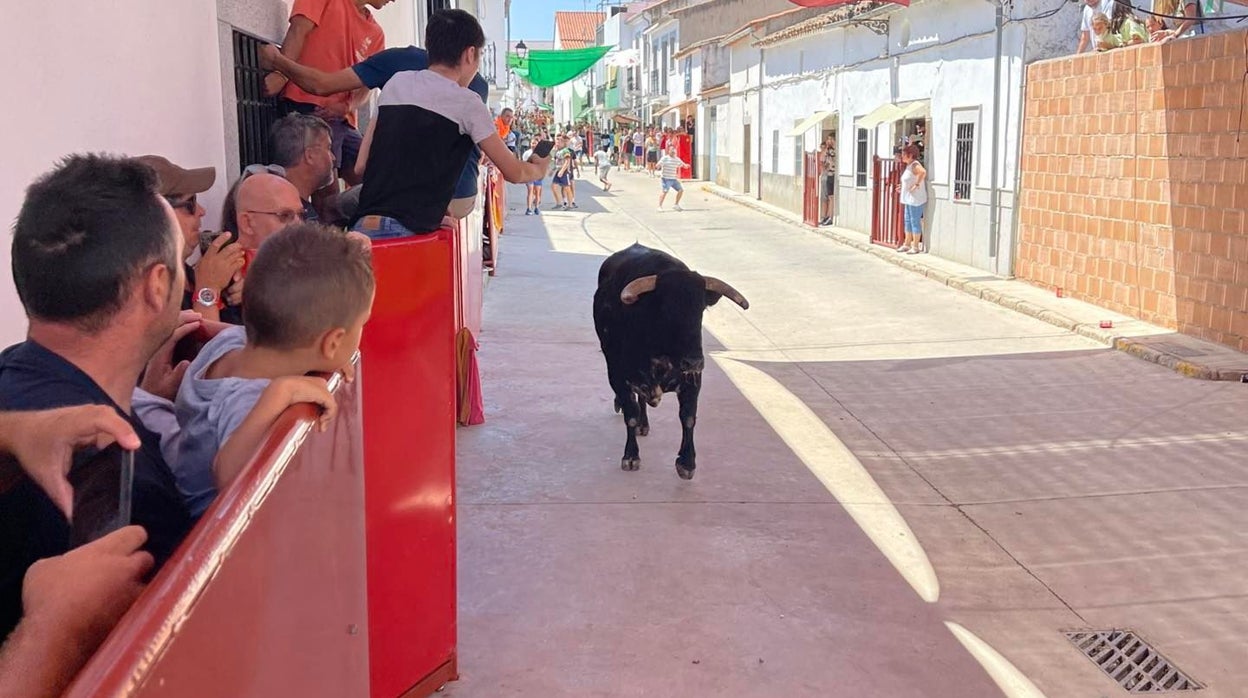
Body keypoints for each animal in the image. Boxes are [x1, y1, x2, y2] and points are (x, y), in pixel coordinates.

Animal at [589, 244, 743, 479]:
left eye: (700, 310)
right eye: (667, 310)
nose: (694, 361)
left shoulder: (693, 380)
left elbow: (688, 416)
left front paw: (687, 462)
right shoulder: (617, 374)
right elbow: (630, 413)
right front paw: (631, 456)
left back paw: (644, 424)